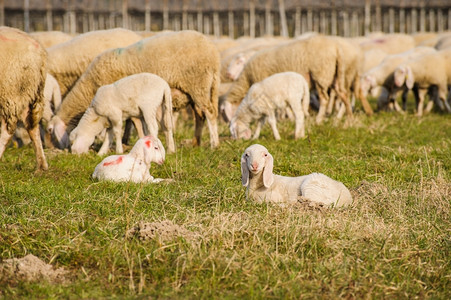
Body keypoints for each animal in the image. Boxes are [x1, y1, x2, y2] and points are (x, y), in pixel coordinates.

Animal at [48, 29, 220, 149]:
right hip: (196, 90)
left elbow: (134, 123)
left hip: (198, 84)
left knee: (210, 114)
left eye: (50, 130)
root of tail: (213, 50)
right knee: (200, 116)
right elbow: (134, 122)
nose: (56, 148)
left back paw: (214, 144)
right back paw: (196, 142)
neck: (89, 86)